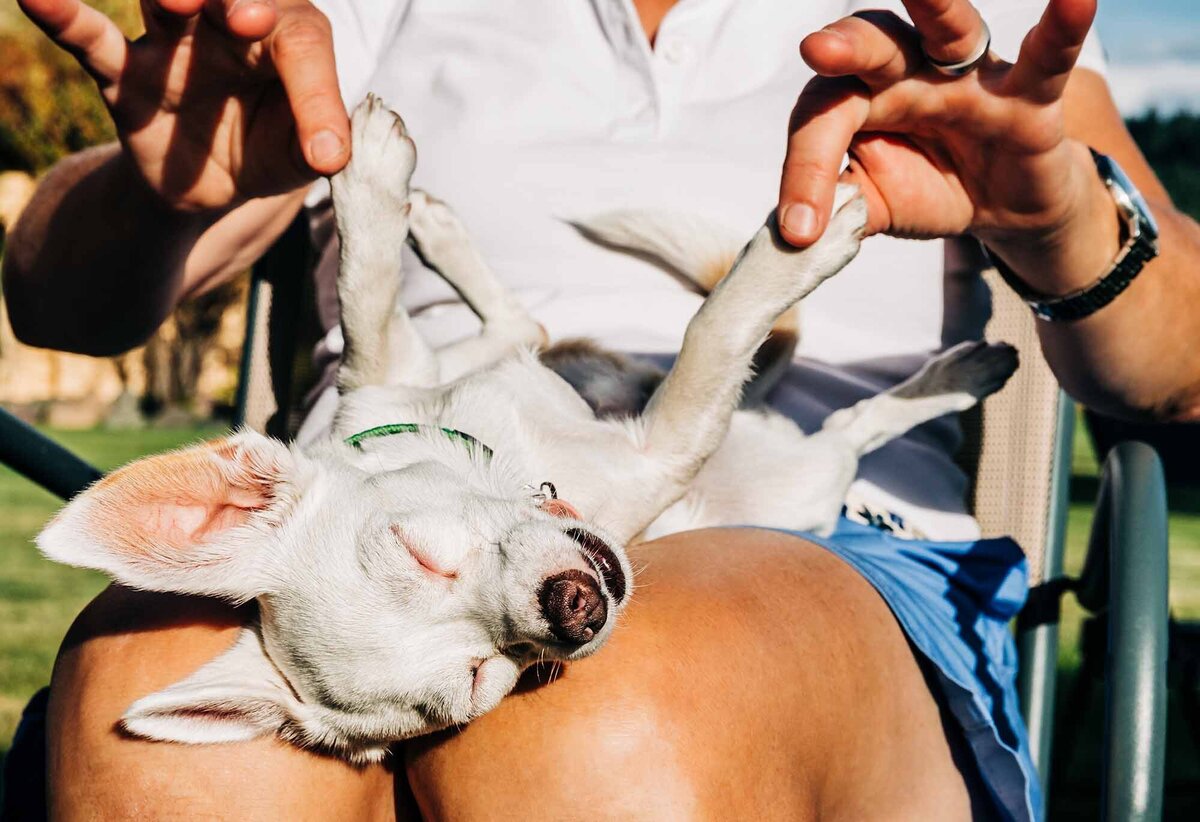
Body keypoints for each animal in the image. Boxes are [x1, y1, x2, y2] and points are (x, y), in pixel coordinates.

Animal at [35, 97, 1012, 763]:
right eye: (486, 679)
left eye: (418, 550)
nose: (572, 610)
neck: (515, 456)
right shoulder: (665, 446)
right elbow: (719, 333)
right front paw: (794, 253)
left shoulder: (384, 373)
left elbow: (364, 297)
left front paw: (369, 184)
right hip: (799, 475)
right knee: (846, 424)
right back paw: (967, 373)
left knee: (520, 326)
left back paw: (432, 225)